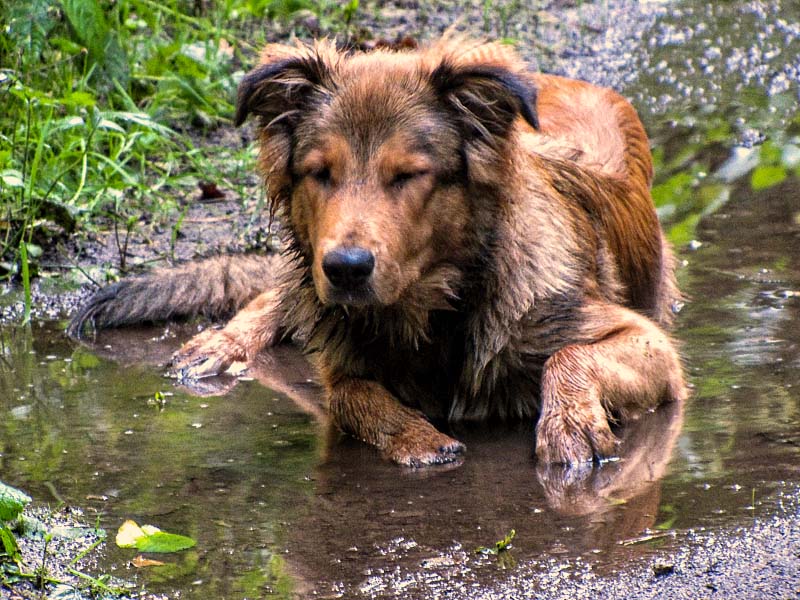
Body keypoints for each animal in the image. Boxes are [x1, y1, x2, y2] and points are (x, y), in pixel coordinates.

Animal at [69, 37, 684, 468]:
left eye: (408, 175)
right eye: (320, 173)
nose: (345, 269)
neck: (436, 312)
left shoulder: (646, 342)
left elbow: (569, 356)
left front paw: (567, 425)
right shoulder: (341, 355)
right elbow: (352, 396)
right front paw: (417, 437)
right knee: (276, 294)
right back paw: (224, 342)